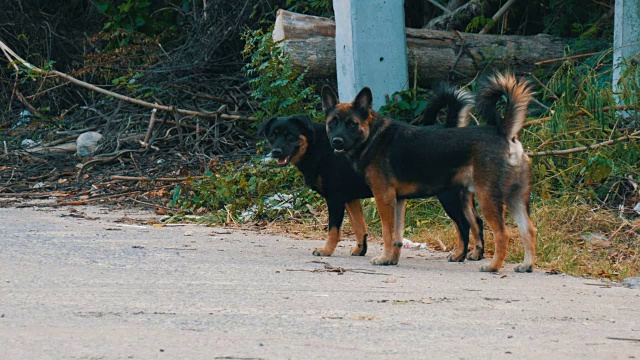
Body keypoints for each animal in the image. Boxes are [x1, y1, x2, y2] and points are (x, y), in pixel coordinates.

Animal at [258, 84, 482, 258]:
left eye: (290, 135)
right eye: (272, 136)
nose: (275, 151)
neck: (317, 145)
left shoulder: (336, 198)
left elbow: (333, 230)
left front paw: (326, 250)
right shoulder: (350, 198)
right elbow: (360, 227)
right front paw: (360, 249)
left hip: (448, 196)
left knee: (463, 225)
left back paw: (460, 255)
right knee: (476, 222)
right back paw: (475, 254)